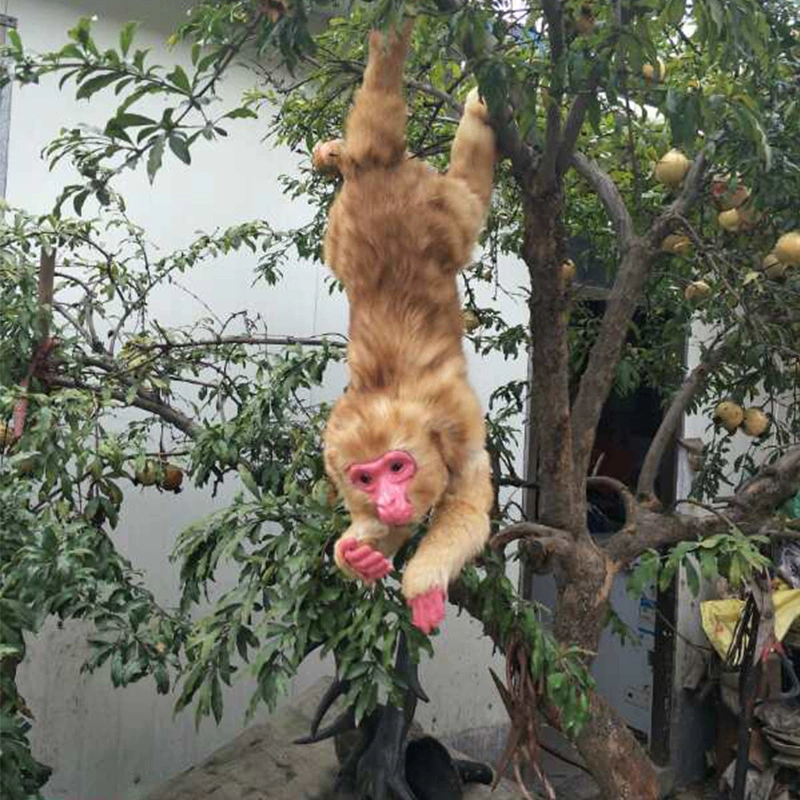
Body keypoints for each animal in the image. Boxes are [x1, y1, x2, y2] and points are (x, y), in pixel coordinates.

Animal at [319, 17, 497, 634]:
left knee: (469, 198)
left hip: (438, 207)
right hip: (341, 229)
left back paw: (478, 111)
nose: (391, 499)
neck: (385, 395)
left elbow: (468, 499)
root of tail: (377, 169)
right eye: (367, 478)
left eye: (398, 467)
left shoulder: (454, 430)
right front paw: (359, 552)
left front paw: (424, 582)